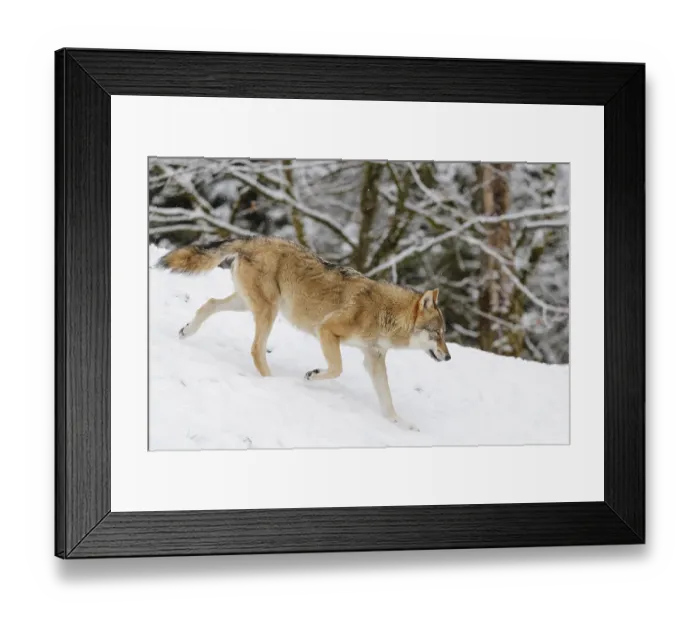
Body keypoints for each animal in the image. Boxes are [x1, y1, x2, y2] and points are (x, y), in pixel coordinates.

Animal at [157, 236, 451, 431]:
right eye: (437, 333)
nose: (448, 357)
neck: (384, 313)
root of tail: (255, 238)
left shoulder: (374, 359)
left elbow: (387, 400)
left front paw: (401, 424)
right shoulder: (327, 331)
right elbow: (337, 369)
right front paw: (312, 375)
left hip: (247, 304)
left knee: (209, 304)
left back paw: (186, 331)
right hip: (268, 311)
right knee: (255, 348)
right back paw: (272, 382)